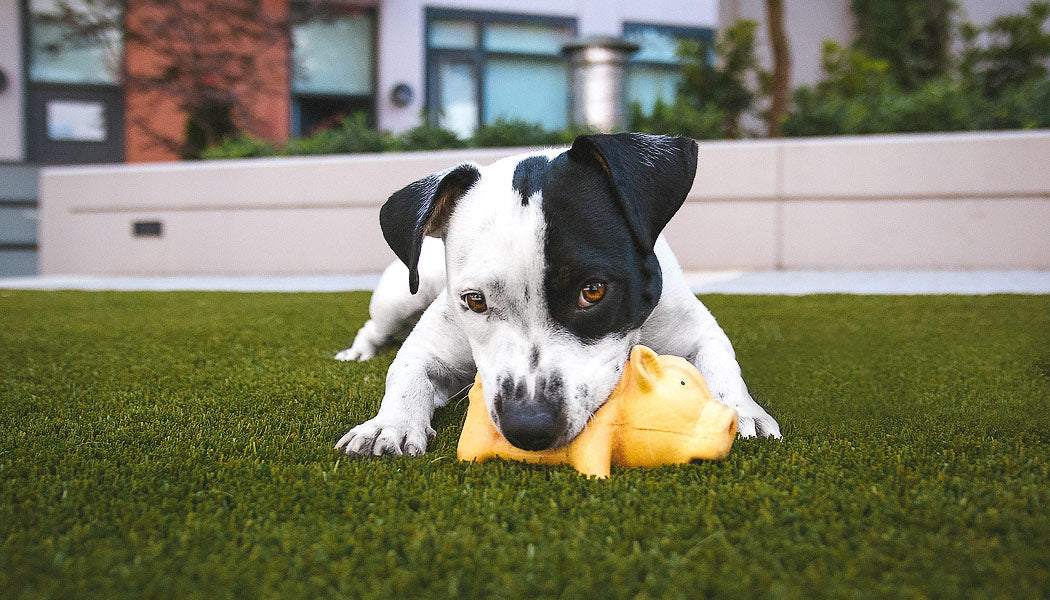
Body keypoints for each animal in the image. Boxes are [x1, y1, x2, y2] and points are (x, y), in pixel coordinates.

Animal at [336, 133, 781, 458]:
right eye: (475, 301)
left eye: (593, 291)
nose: (528, 426)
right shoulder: (430, 344)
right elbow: (406, 372)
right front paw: (388, 424)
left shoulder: (696, 329)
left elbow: (721, 362)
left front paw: (741, 411)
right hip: (400, 296)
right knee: (374, 326)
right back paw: (358, 352)